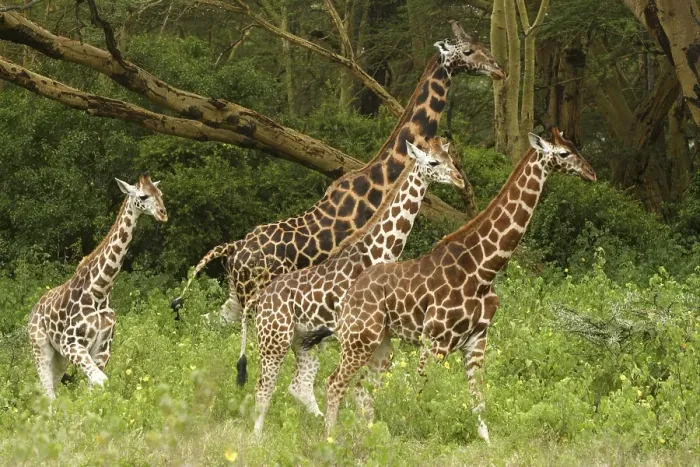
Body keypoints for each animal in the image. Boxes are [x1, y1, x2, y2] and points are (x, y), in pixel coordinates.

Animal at [27, 174, 167, 399]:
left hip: (60, 357)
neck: (100, 291)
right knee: (47, 391)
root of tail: (34, 308)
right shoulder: (71, 343)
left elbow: (96, 388)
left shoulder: (102, 349)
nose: (163, 213)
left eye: (160, 193)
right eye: (143, 196)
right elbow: (101, 381)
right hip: (40, 346)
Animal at [170, 22, 505, 326]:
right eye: (468, 50)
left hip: (235, 300)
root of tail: (233, 251)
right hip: (255, 297)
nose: (499, 69)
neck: (376, 185)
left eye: (483, 45)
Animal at [248, 138, 464, 433]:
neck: (378, 251)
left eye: (450, 157)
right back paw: (258, 438)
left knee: (298, 385)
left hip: (300, 342)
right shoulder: (350, 332)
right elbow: (354, 388)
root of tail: (260, 300)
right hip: (274, 339)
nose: (459, 179)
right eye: (433, 162)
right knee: (264, 388)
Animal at [302, 128, 596, 442]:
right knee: (335, 382)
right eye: (563, 153)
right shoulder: (435, 340)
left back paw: (368, 436)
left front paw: (487, 443)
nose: (591, 173)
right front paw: (417, 438)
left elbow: (478, 400)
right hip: (360, 338)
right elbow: (419, 394)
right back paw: (330, 437)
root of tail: (349, 295)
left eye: (575, 147)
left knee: (362, 387)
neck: (483, 269)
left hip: (381, 342)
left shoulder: (477, 341)